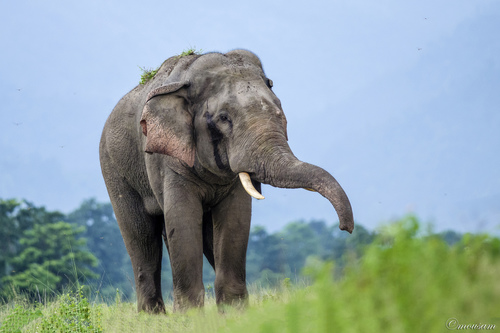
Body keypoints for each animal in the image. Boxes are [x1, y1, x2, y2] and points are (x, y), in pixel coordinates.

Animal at [99, 48, 354, 312]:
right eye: (223, 118)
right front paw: (190, 316)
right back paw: (153, 316)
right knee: (142, 238)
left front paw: (234, 313)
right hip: (114, 168)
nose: (345, 228)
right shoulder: (167, 160)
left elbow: (235, 219)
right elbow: (181, 218)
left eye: (279, 112)